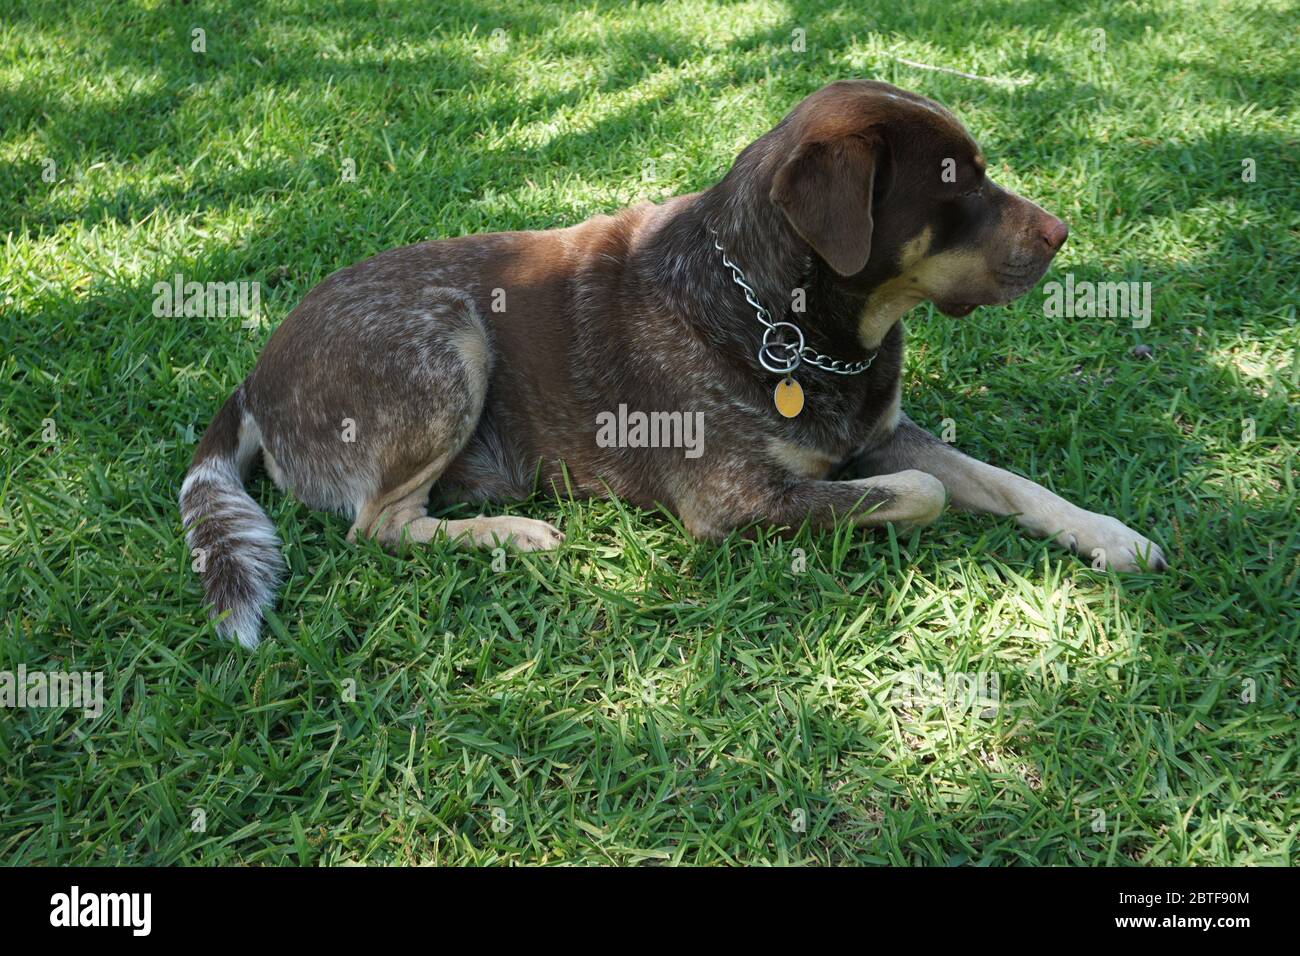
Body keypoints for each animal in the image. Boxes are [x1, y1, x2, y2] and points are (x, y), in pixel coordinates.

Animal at [183, 80, 1170, 650]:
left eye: (980, 167)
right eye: (955, 181)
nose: (1062, 233)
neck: (789, 318)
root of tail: (251, 380)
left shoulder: (890, 434)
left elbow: (1009, 483)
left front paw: (1111, 534)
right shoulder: (735, 501)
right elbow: (920, 497)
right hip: (450, 337)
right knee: (375, 525)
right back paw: (511, 533)